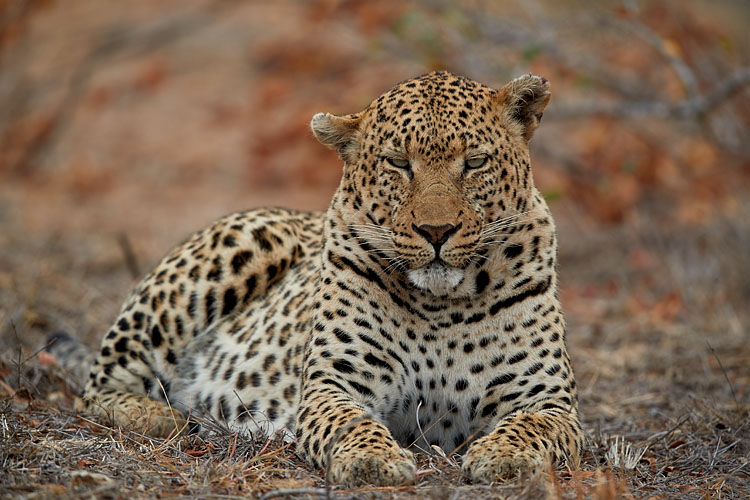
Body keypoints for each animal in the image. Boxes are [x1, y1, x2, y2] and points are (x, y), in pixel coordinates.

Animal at [49, 71, 584, 486]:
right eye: (398, 163)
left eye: (474, 163)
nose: (436, 230)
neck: (442, 305)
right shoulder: (335, 385)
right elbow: (351, 425)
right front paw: (373, 460)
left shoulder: (548, 398)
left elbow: (531, 428)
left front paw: (504, 456)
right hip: (230, 255)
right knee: (100, 383)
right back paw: (160, 415)